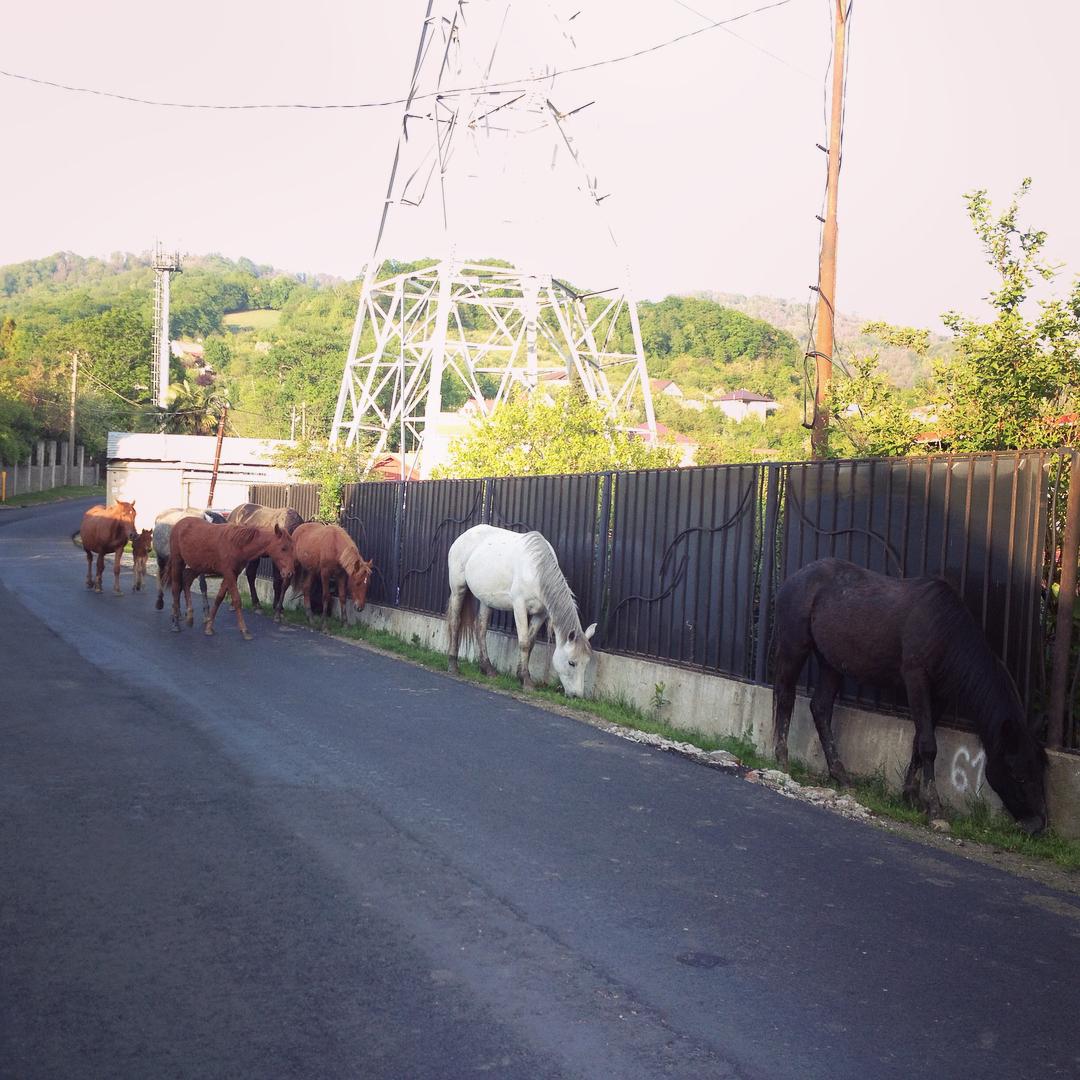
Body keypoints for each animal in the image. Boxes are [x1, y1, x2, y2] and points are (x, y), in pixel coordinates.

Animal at [447, 524, 600, 699]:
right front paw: (526, 682)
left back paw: (488, 669)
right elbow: (524, 642)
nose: (576, 696)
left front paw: (521, 676)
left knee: (480, 628)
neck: (536, 572)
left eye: (586, 663)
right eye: (571, 662)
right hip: (458, 588)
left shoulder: (541, 614)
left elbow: (531, 642)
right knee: (455, 622)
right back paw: (453, 665)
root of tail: (465, 534)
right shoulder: (519, 605)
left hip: (486, 600)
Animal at [773, 557, 1049, 833]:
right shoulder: (916, 680)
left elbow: (919, 742)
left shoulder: (940, 695)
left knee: (820, 708)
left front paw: (911, 796)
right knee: (785, 696)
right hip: (794, 645)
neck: (944, 630)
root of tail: (796, 576)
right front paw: (935, 809)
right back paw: (782, 759)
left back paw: (841, 775)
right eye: (1018, 775)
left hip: (830, 661)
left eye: (1041, 770)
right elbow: (928, 744)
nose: (1037, 824)